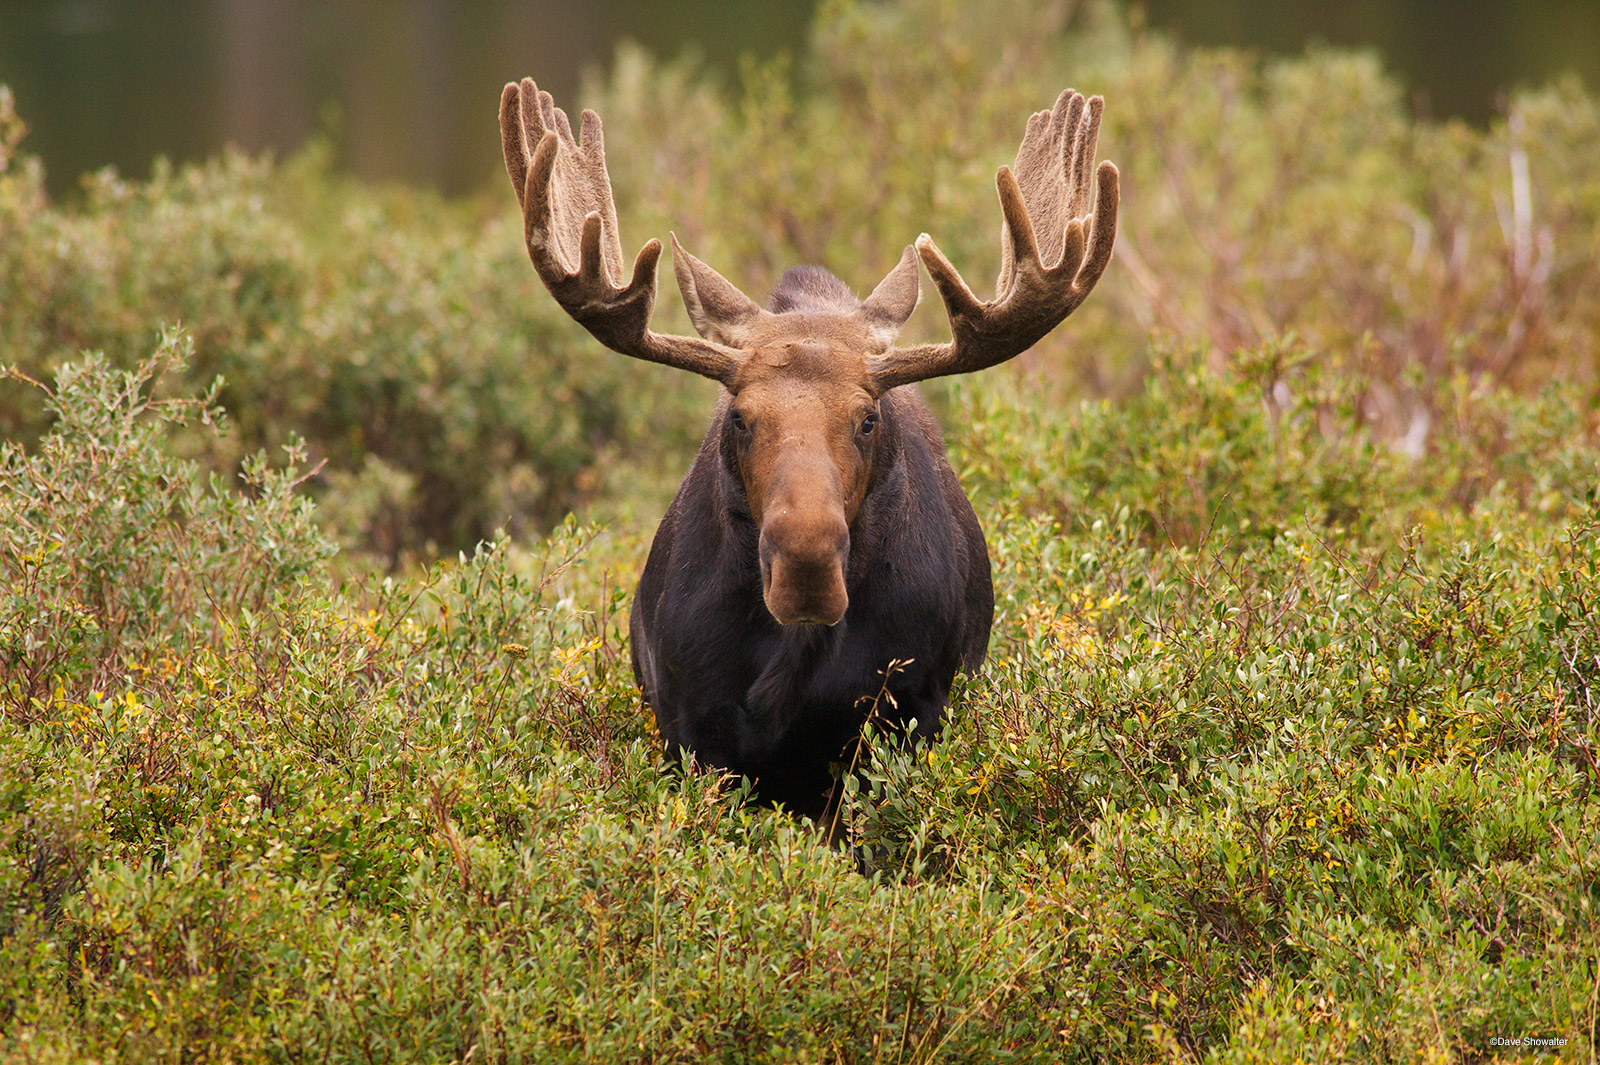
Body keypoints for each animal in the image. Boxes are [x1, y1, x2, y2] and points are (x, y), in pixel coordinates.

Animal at [505, 78, 1120, 815]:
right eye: (738, 417)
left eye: (868, 418)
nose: (804, 563)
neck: (793, 659)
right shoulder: (688, 725)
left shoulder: (908, 715)